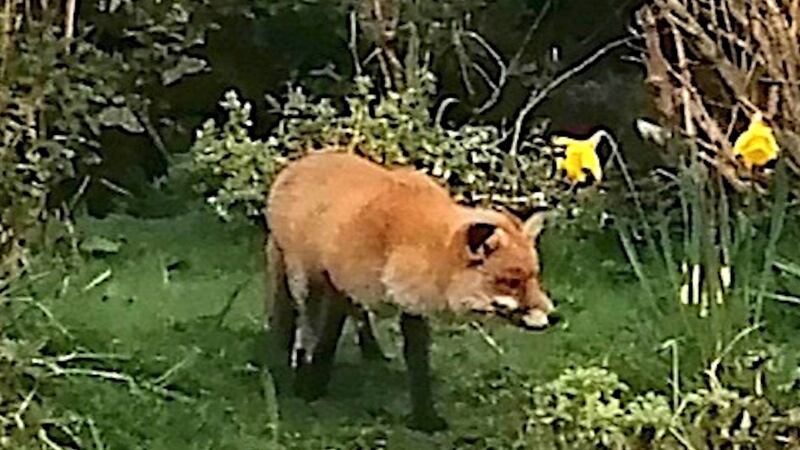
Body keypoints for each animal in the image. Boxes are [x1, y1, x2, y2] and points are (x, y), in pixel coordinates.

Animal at [264, 150, 559, 432]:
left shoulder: (413, 305)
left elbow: (418, 366)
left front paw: (425, 418)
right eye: (511, 281)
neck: (400, 244)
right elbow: (324, 344)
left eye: (535, 276)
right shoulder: (336, 286)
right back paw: (282, 360)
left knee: (356, 318)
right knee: (292, 323)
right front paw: (310, 389)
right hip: (294, 279)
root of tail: (305, 159)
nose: (555, 316)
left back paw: (372, 352)